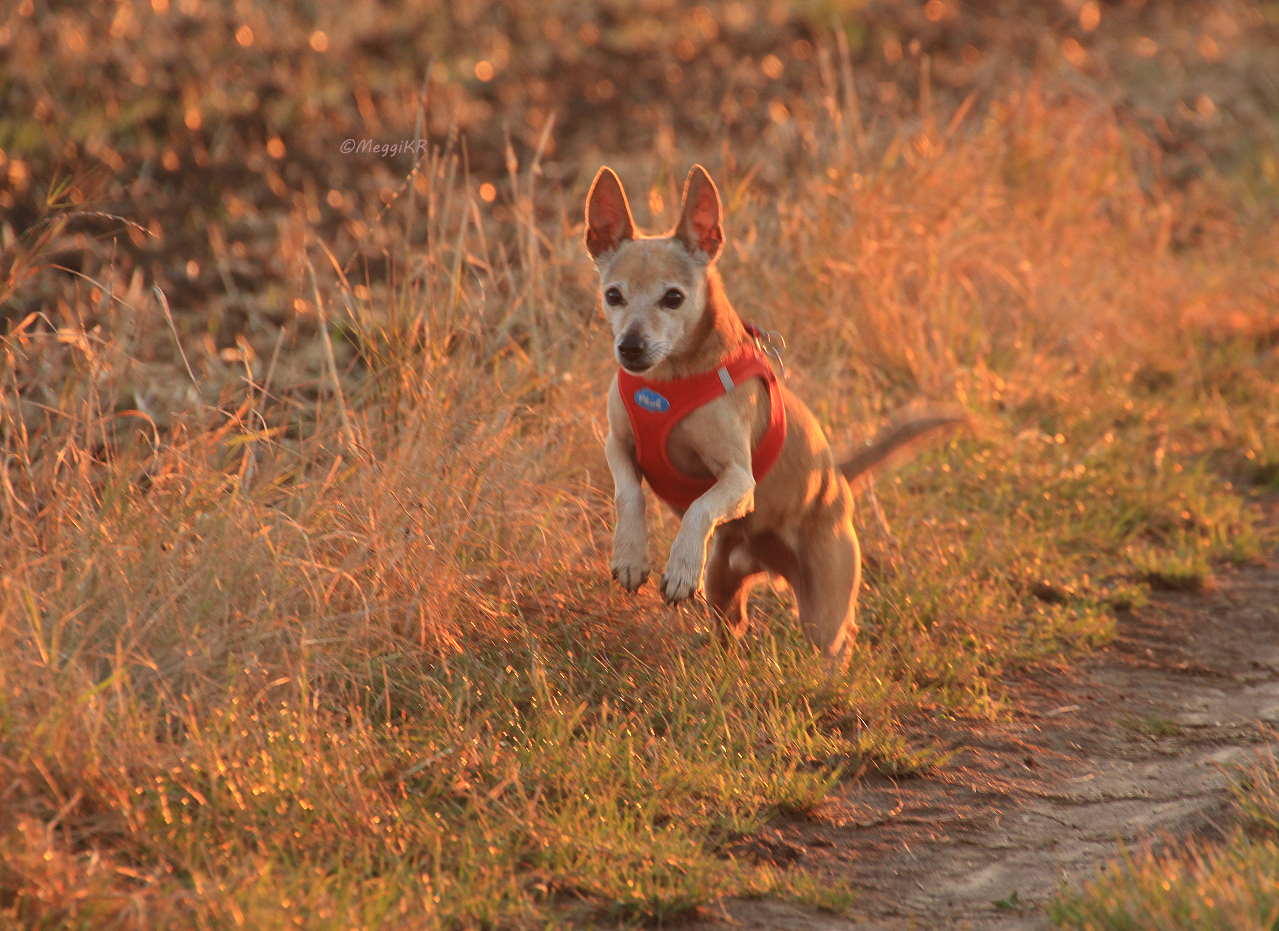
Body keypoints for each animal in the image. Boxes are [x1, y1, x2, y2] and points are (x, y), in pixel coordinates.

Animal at [585, 164, 961, 659]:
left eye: (673, 298)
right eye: (613, 295)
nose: (629, 347)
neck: (669, 382)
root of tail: (839, 479)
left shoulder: (738, 479)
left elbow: (699, 508)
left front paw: (681, 565)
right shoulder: (618, 446)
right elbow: (628, 492)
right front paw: (629, 556)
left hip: (825, 608)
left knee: (838, 638)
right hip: (722, 584)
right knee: (733, 624)